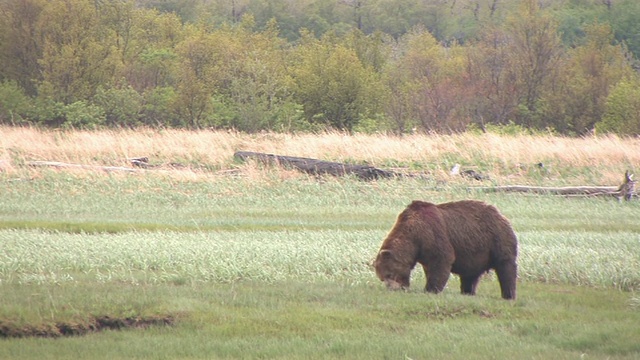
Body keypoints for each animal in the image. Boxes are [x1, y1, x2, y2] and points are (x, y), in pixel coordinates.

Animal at [372, 201, 516, 300]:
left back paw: (508, 295)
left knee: (506, 266)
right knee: (470, 275)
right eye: (382, 278)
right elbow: (430, 267)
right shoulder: (423, 251)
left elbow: (441, 260)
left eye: (389, 274)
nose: (393, 289)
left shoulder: (432, 233)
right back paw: (467, 292)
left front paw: (430, 290)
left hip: (496, 239)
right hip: (475, 252)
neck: (414, 238)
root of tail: (501, 214)